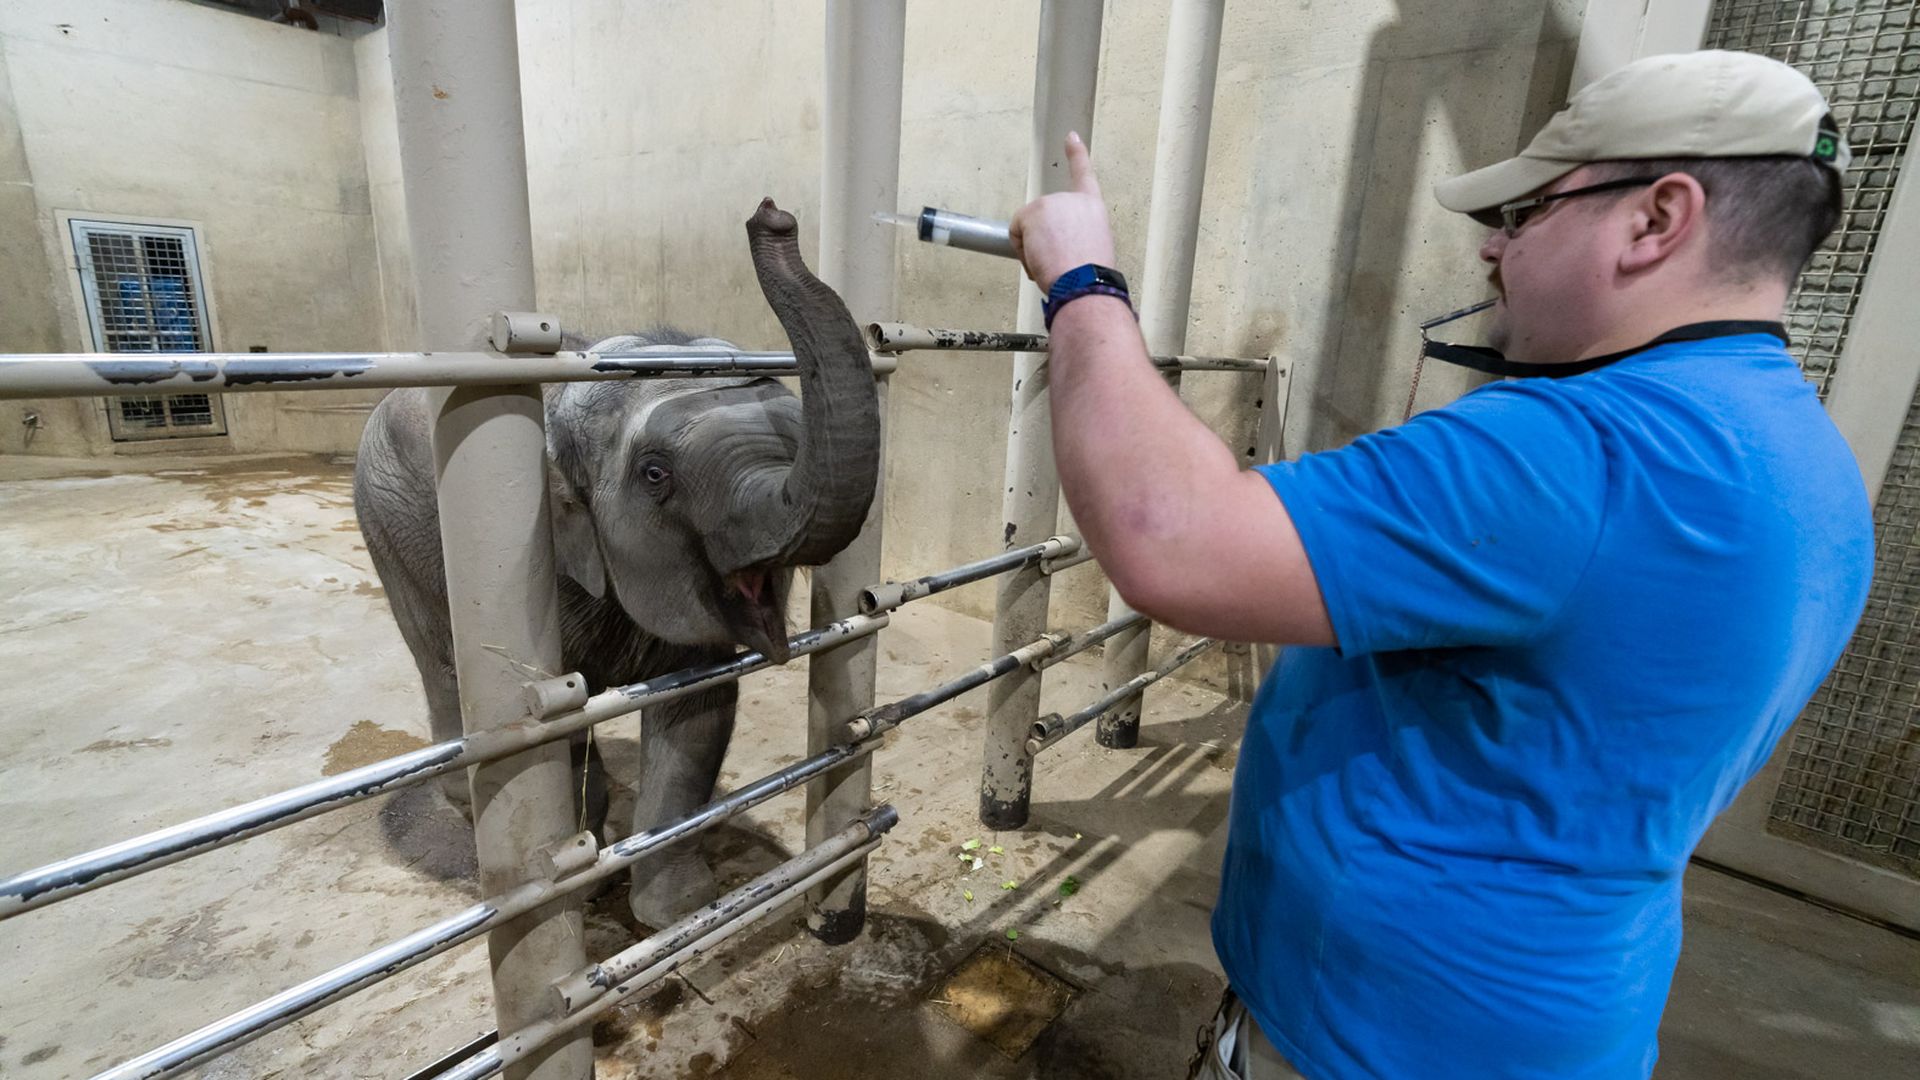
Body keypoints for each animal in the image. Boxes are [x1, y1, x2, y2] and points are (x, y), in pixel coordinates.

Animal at [351, 200, 879, 927]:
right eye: (655, 475)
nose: (772, 215)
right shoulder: (538, 566)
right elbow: (554, 728)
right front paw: (578, 881)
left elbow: (698, 711)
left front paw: (678, 913)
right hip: (385, 528)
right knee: (441, 661)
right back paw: (467, 808)